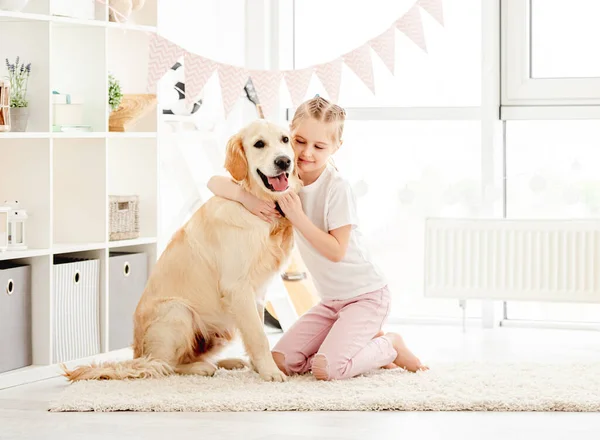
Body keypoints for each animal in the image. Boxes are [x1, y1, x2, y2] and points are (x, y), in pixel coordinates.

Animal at [62, 119, 300, 382]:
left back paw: (226, 362)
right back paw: (202, 368)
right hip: (179, 311)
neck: (258, 206)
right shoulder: (238, 287)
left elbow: (256, 331)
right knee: (162, 365)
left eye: (285, 140)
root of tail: (136, 354)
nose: (284, 161)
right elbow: (259, 336)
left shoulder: (257, 292)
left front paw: (259, 368)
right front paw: (271, 372)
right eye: (259, 144)